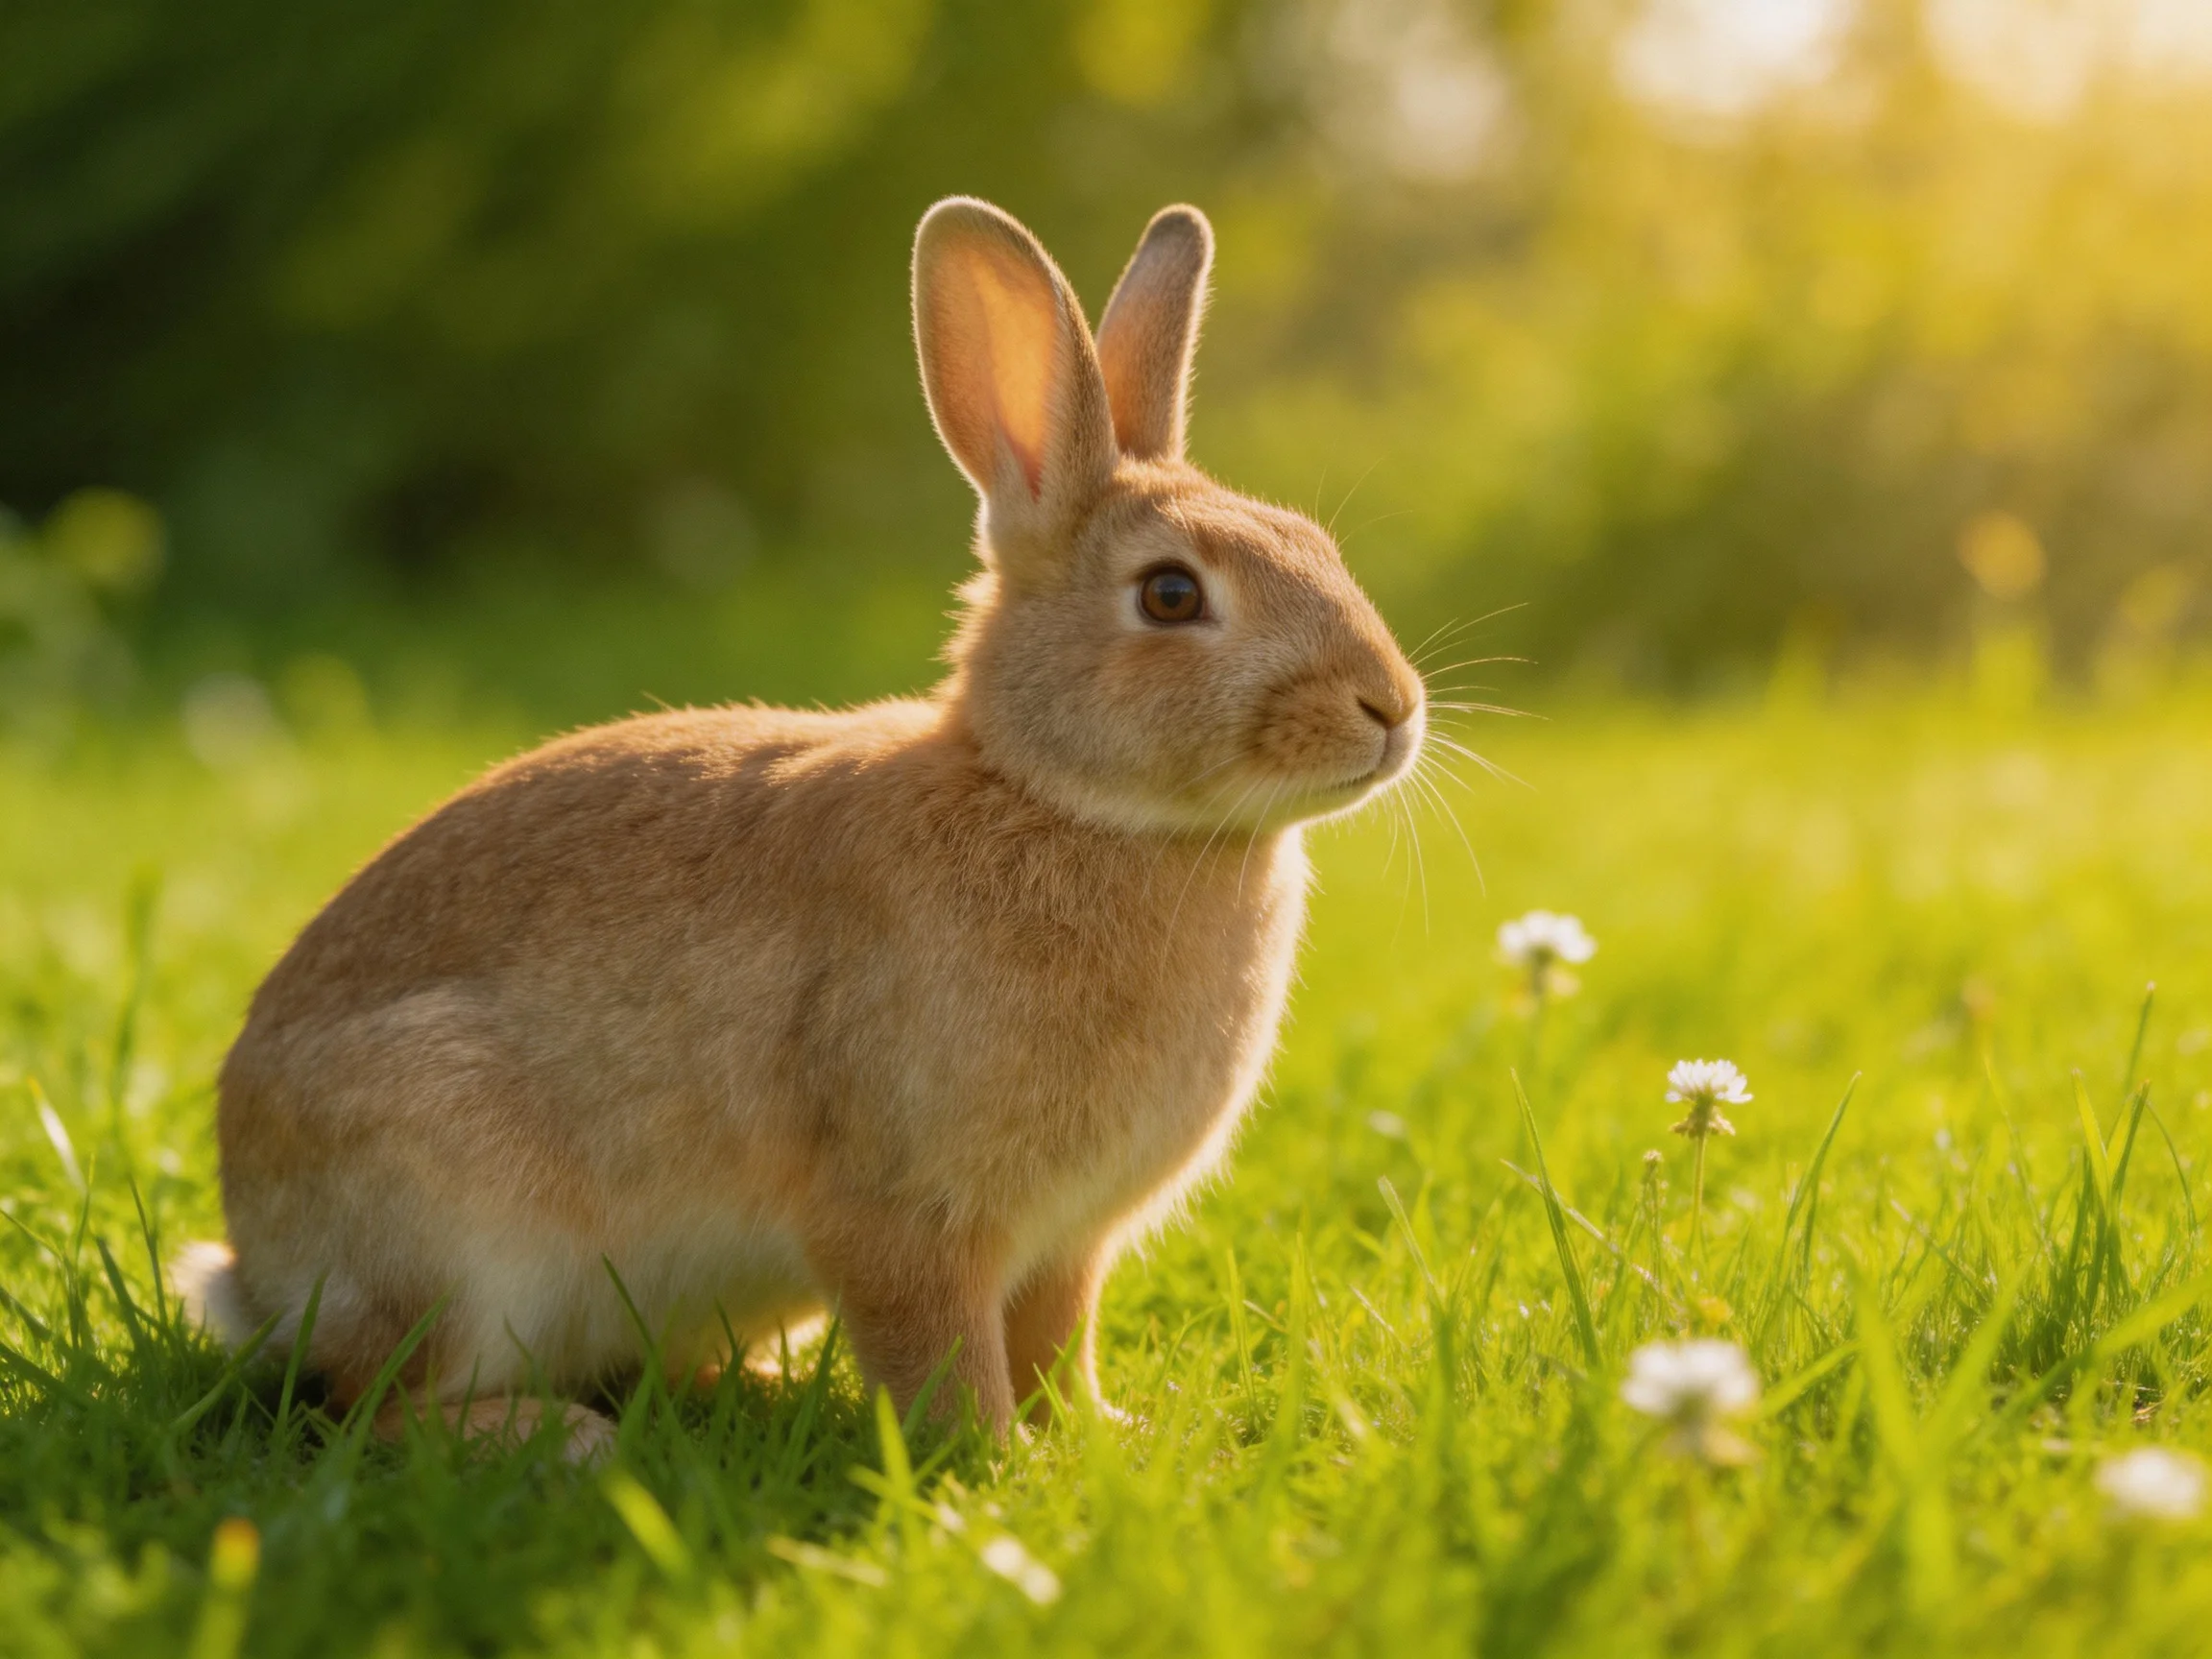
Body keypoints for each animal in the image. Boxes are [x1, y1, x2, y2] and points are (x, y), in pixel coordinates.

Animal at [174, 197, 1426, 1457]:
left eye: (1314, 546)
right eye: (1172, 595)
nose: (1393, 707)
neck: (1060, 799)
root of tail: (258, 1271)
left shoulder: (1071, 1241)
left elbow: (1057, 1344)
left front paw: (1103, 1438)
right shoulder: (906, 1208)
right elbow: (939, 1351)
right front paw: (997, 1464)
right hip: (462, 1233)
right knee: (375, 1403)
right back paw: (559, 1439)